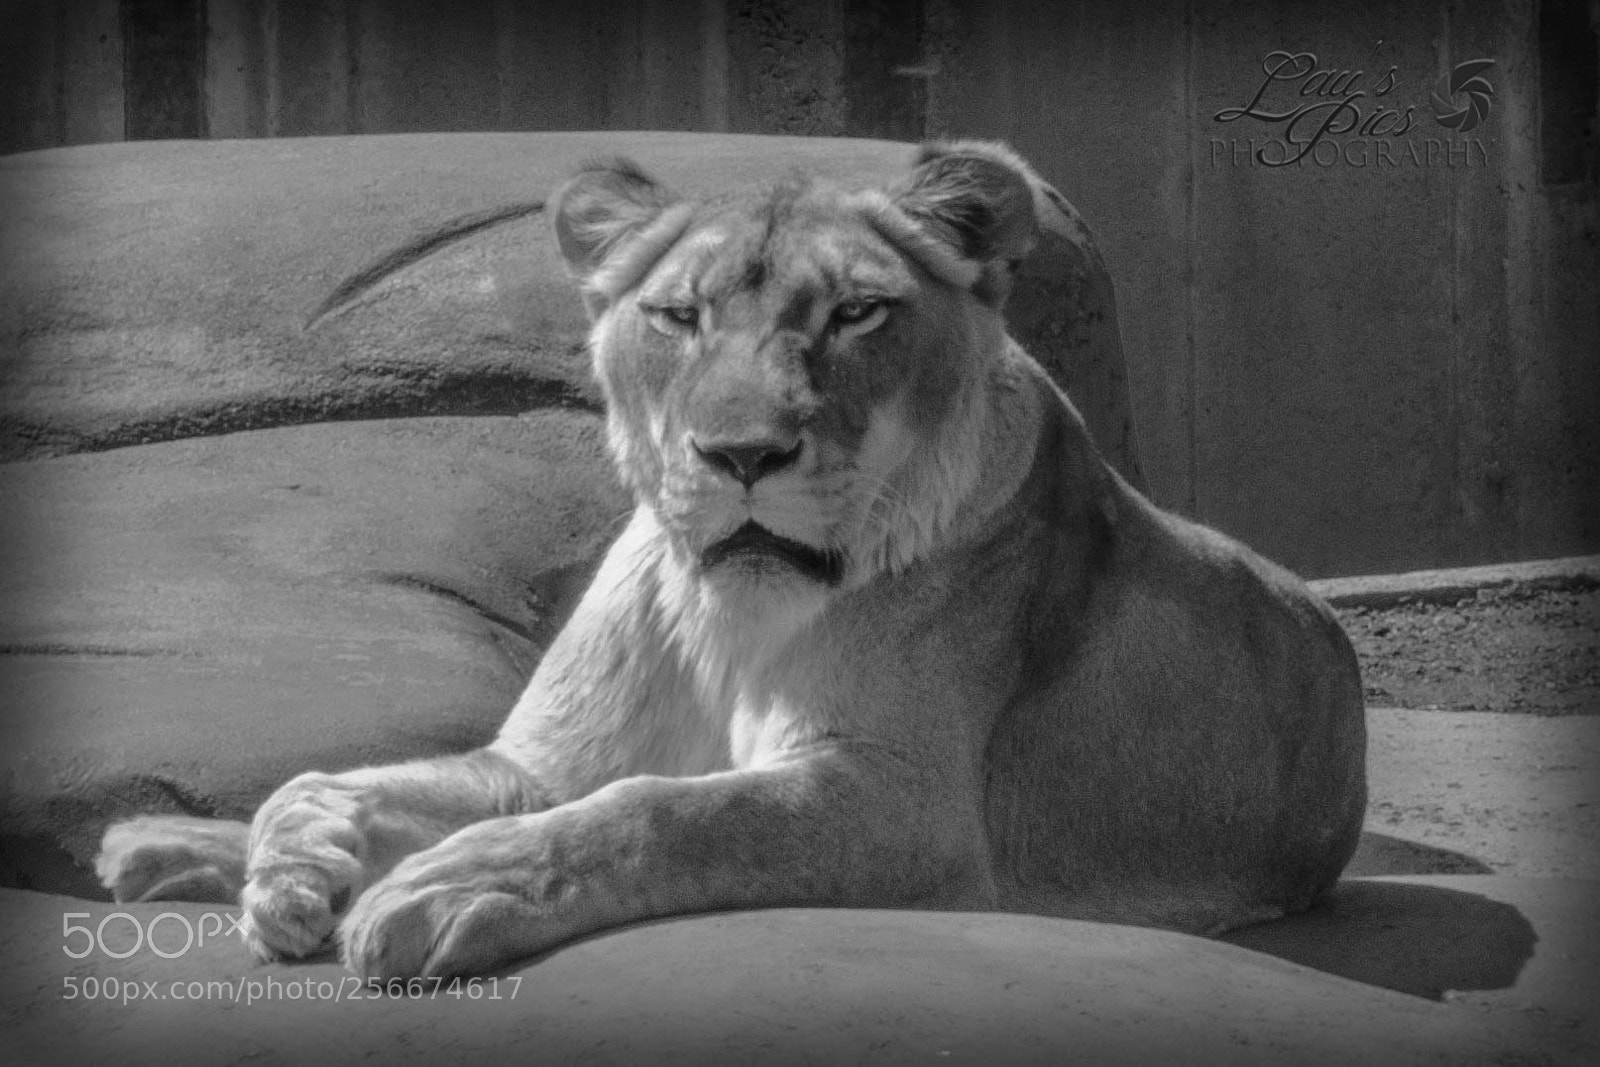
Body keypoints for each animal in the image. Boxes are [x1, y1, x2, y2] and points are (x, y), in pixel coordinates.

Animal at [96, 142, 1366, 980]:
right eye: (678, 316)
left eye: (857, 313)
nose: (742, 454)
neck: (734, 605)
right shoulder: (539, 762)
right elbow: (324, 780)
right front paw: (293, 868)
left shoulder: (907, 801)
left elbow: (663, 811)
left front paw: (457, 883)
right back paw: (156, 846)